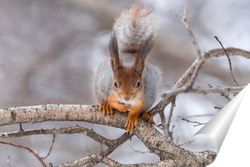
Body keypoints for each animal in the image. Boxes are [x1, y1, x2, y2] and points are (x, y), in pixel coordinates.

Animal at [93, 2, 161, 134]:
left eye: (139, 84)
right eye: (115, 84)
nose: (127, 97)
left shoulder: (147, 94)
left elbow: (137, 108)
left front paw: (132, 117)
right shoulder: (105, 87)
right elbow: (111, 100)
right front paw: (120, 106)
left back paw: (146, 115)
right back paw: (105, 105)